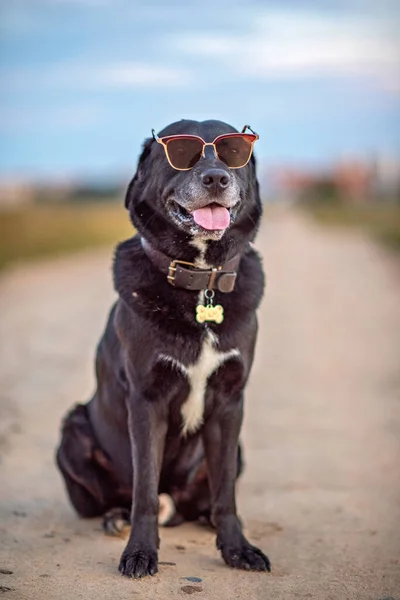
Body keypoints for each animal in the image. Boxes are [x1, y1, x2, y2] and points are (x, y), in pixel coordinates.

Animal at [55, 118, 268, 576]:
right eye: (181, 152)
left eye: (234, 151)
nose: (216, 178)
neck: (201, 282)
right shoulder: (146, 399)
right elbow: (145, 490)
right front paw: (139, 552)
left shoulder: (230, 403)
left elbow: (226, 493)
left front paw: (237, 548)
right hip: (72, 432)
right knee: (125, 496)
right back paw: (115, 517)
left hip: (236, 449)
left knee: (202, 500)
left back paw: (205, 519)